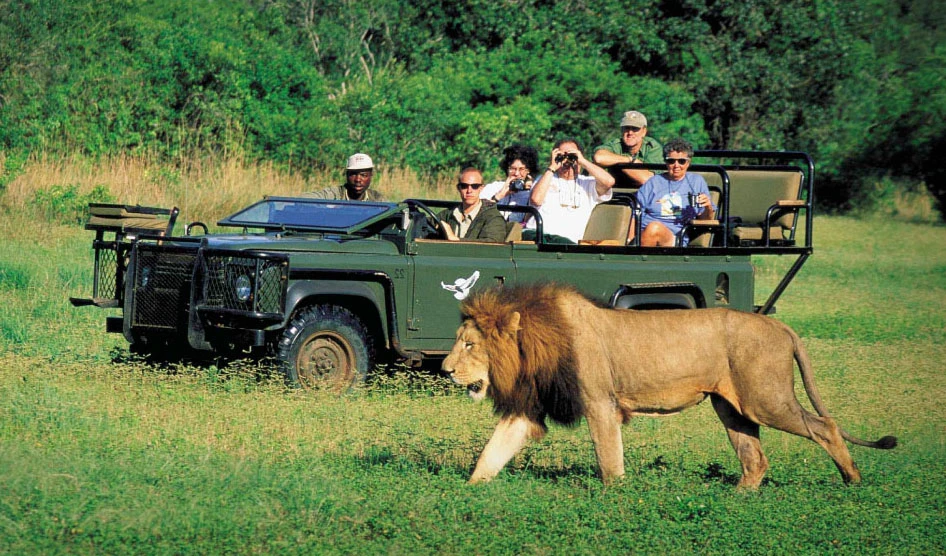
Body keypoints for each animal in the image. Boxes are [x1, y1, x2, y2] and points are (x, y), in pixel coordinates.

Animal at [438, 282, 896, 486]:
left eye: (469, 344)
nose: (445, 369)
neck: (535, 346)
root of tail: (781, 326)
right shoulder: (528, 409)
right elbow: (491, 453)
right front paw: (468, 491)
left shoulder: (600, 403)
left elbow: (609, 459)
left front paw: (616, 496)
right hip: (732, 408)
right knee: (755, 457)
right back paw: (738, 498)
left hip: (765, 399)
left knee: (826, 426)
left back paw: (852, 480)